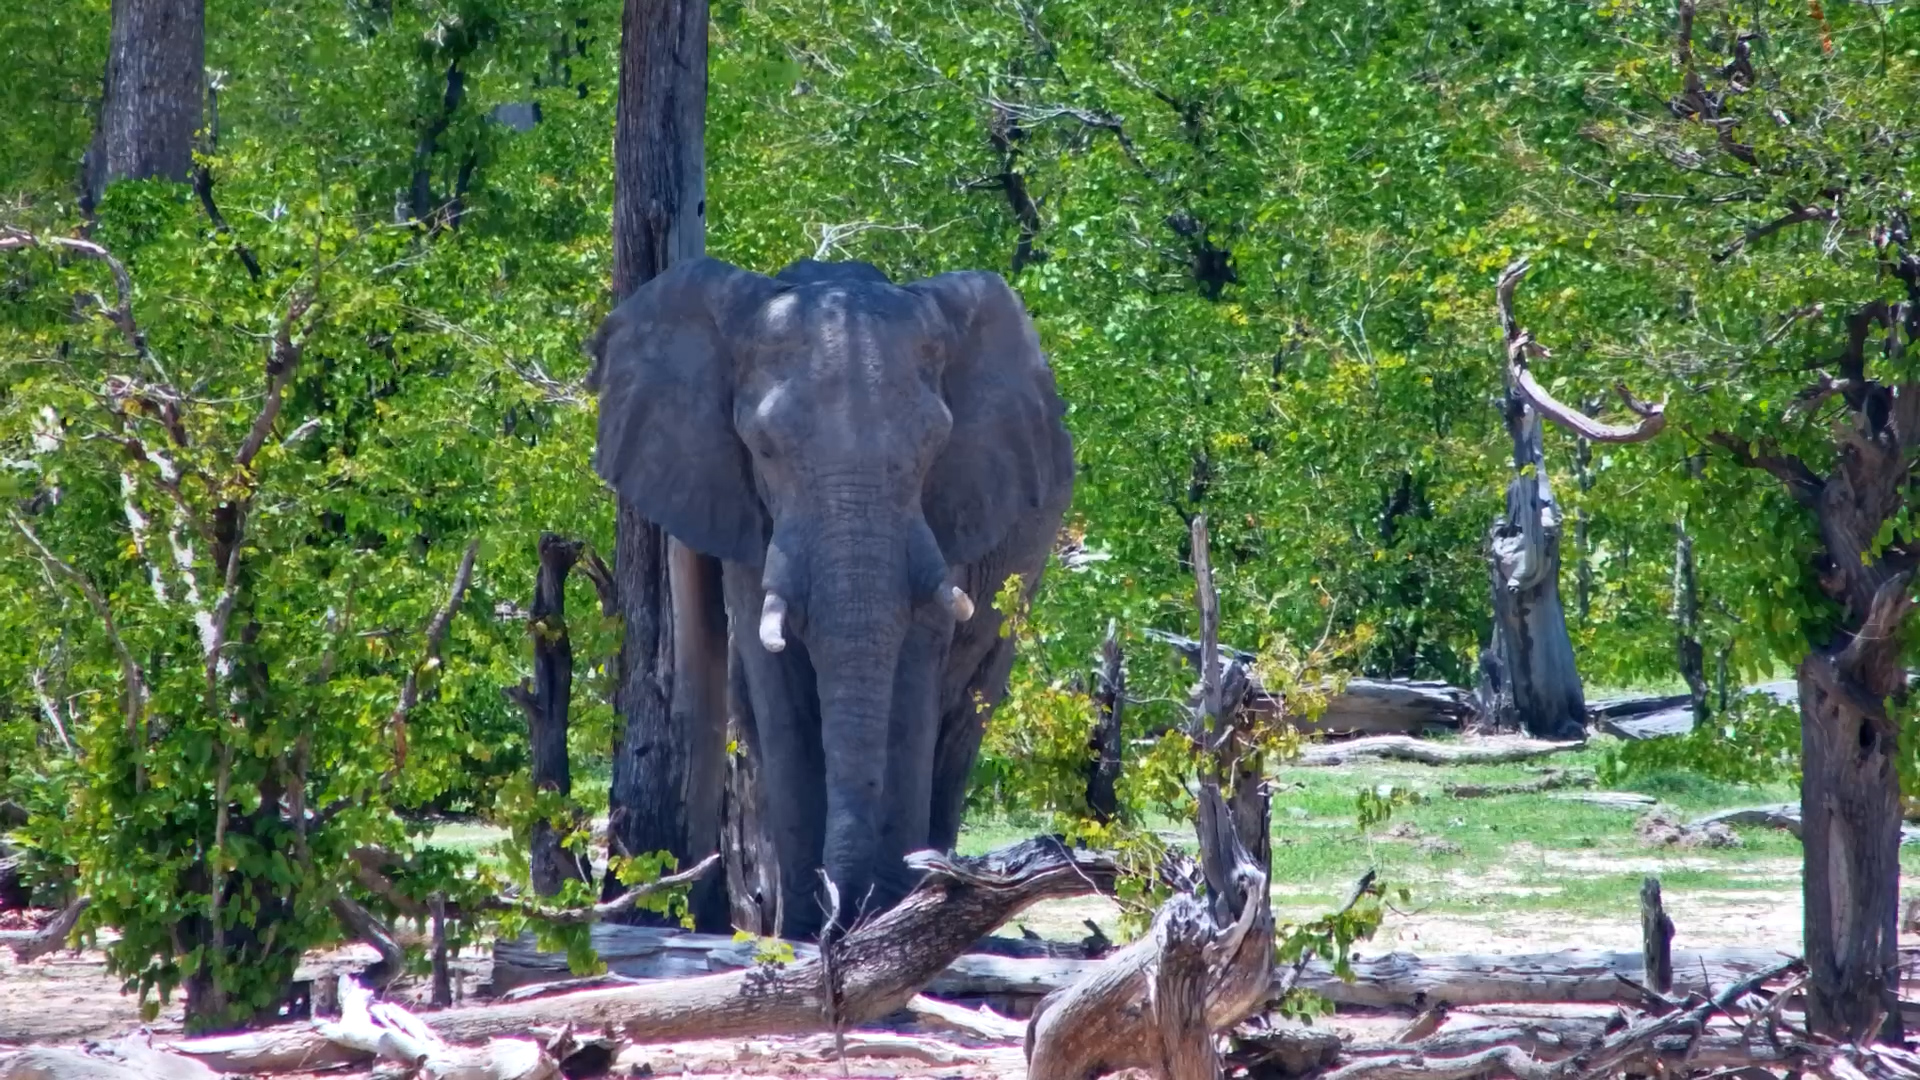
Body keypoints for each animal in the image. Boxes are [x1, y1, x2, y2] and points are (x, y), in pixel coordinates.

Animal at [588, 255, 1074, 937]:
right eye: (763, 447)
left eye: (934, 446)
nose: (841, 915)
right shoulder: (744, 509)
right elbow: (778, 681)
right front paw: (803, 933)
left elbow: (913, 674)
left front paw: (890, 919)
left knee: (964, 718)